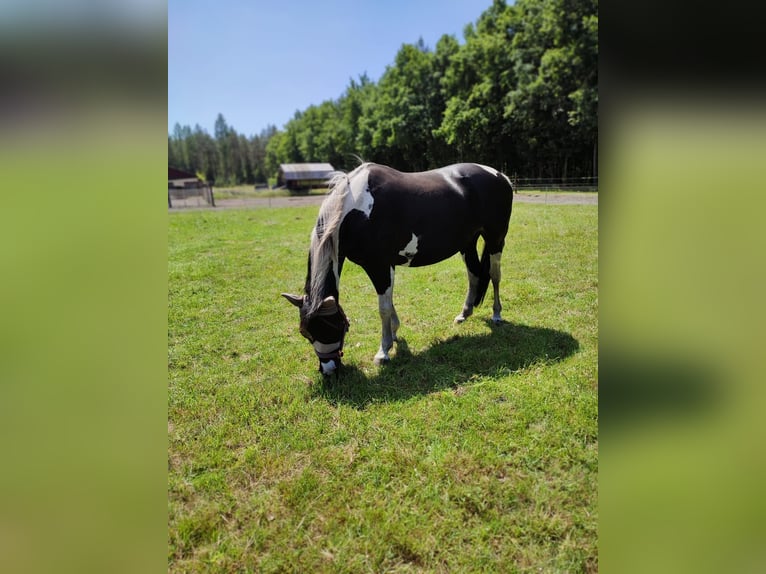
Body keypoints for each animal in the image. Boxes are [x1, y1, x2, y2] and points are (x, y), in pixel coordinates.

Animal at [282, 162, 514, 376]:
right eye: (305, 333)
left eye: (332, 327)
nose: (328, 370)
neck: (355, 211)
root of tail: (500, 175)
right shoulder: (384, 267)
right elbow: (389, 302)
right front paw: (393, 334)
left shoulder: (379, 267)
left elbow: (383, 308)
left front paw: (383, 351)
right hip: (467, 243)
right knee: (473, 274)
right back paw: (464, 314)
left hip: (495, 239)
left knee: (494, 275)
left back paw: (497, 314)